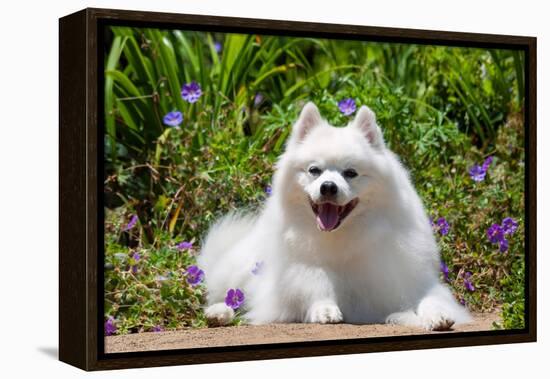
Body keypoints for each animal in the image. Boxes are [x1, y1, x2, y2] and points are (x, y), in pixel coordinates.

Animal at [198, 102, 470, 332]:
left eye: (350, 173)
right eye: (314, 170)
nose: (328, 186)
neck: (342, 235)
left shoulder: (405, 278)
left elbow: (429, 299)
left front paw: (436, 316)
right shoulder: (300, 273)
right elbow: (315, 282)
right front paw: (325, 308)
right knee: (228, 295)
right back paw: (219, 313)